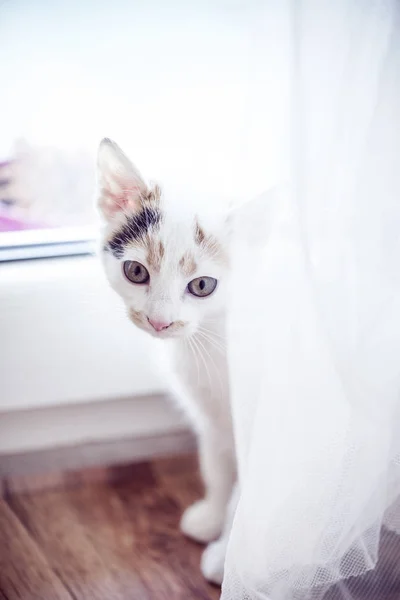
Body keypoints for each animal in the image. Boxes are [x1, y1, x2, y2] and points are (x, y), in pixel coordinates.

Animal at [95, 139, 236, 580]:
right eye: (135, 271)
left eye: (203, 285)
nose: (160, 322)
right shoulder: (211, 415)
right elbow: (218, 464)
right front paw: (212, 517)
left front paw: (230, 557)